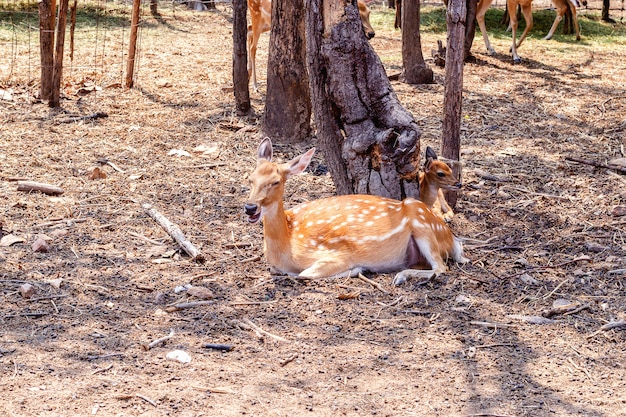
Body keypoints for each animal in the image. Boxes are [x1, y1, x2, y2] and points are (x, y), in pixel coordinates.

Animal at [244, 138, 468, 284]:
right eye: (251, 178)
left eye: (276, 181)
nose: (250, 207)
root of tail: (451, 238)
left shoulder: (335, 255)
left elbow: (304, 274)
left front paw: (356, 269)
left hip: (423, 226)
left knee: (441, 267)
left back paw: (400, 277)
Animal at [245, 0, 376, 90]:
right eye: (358, 14)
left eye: (369, 12)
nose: (371, 33)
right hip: (256, 16)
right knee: (253, 47)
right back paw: (255, 85)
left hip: (266, 24)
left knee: (248, 29)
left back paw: (248, 73)